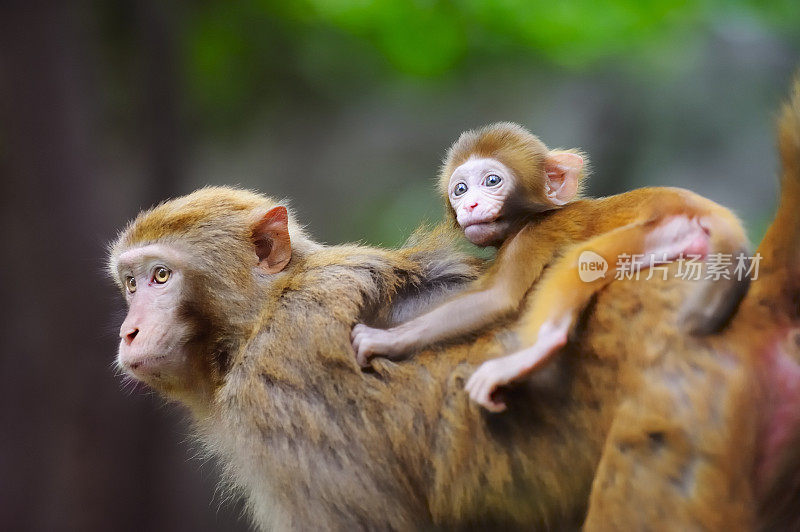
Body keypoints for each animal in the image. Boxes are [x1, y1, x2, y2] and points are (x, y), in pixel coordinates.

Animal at [354, 123, 748, 412]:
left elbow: (497, 298)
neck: (531, 217)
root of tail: (705, 207)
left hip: (656, 231)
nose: (471, 205)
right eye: (460, 189)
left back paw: (535, 351)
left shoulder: (531, 237)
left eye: (491, 181)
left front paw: (384, 339)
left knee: (580, 262)